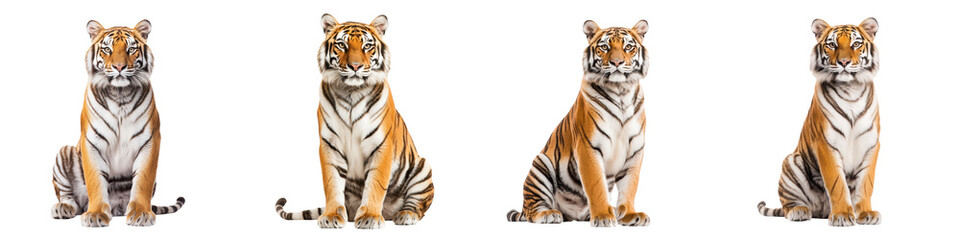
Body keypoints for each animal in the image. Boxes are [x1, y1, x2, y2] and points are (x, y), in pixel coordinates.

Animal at [49, 20, 186, 227]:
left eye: (131, 49)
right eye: (107, 49)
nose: (119, 67)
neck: (120, 94)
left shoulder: (150, 140)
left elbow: (143, 180)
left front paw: (141, 213)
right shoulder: (92, 142)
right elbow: (95, 180)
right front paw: (95, 214)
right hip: (64, 152)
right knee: (67, 195)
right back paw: (64, 208)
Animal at [274, 14, 432, 230]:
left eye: (367, 46)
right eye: (342, 45)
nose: (355, 66)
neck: (351, 91)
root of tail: (390, 213)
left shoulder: (381, 145)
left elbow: (375, 184)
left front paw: (370, 217)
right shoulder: (330, 144)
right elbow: (331, 183)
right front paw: (331, 216)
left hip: (422, 168)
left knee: (418, 204)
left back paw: (405, 215)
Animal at [502, 18, 652, 227]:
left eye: (628, 47)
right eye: (604, 47)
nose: (617, 62)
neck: (621, 91)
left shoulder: (635, 151)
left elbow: (630, 186)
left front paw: (630, 215)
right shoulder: (588, 147)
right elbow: (596, 185)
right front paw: (603, 217)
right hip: (540, 166)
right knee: (531, 210)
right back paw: (549, 214)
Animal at [756, 17, 884, 226]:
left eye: (856, 44)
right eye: (832, 45)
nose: (844, 62)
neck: (851, 90)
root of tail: (820, 211)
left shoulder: (870, 144)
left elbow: (866, 183)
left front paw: (866, 213)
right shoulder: (826, 143)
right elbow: (836, 182)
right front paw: (842, 215)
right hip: (792, 161)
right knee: (788, 205)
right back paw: (799, 211)